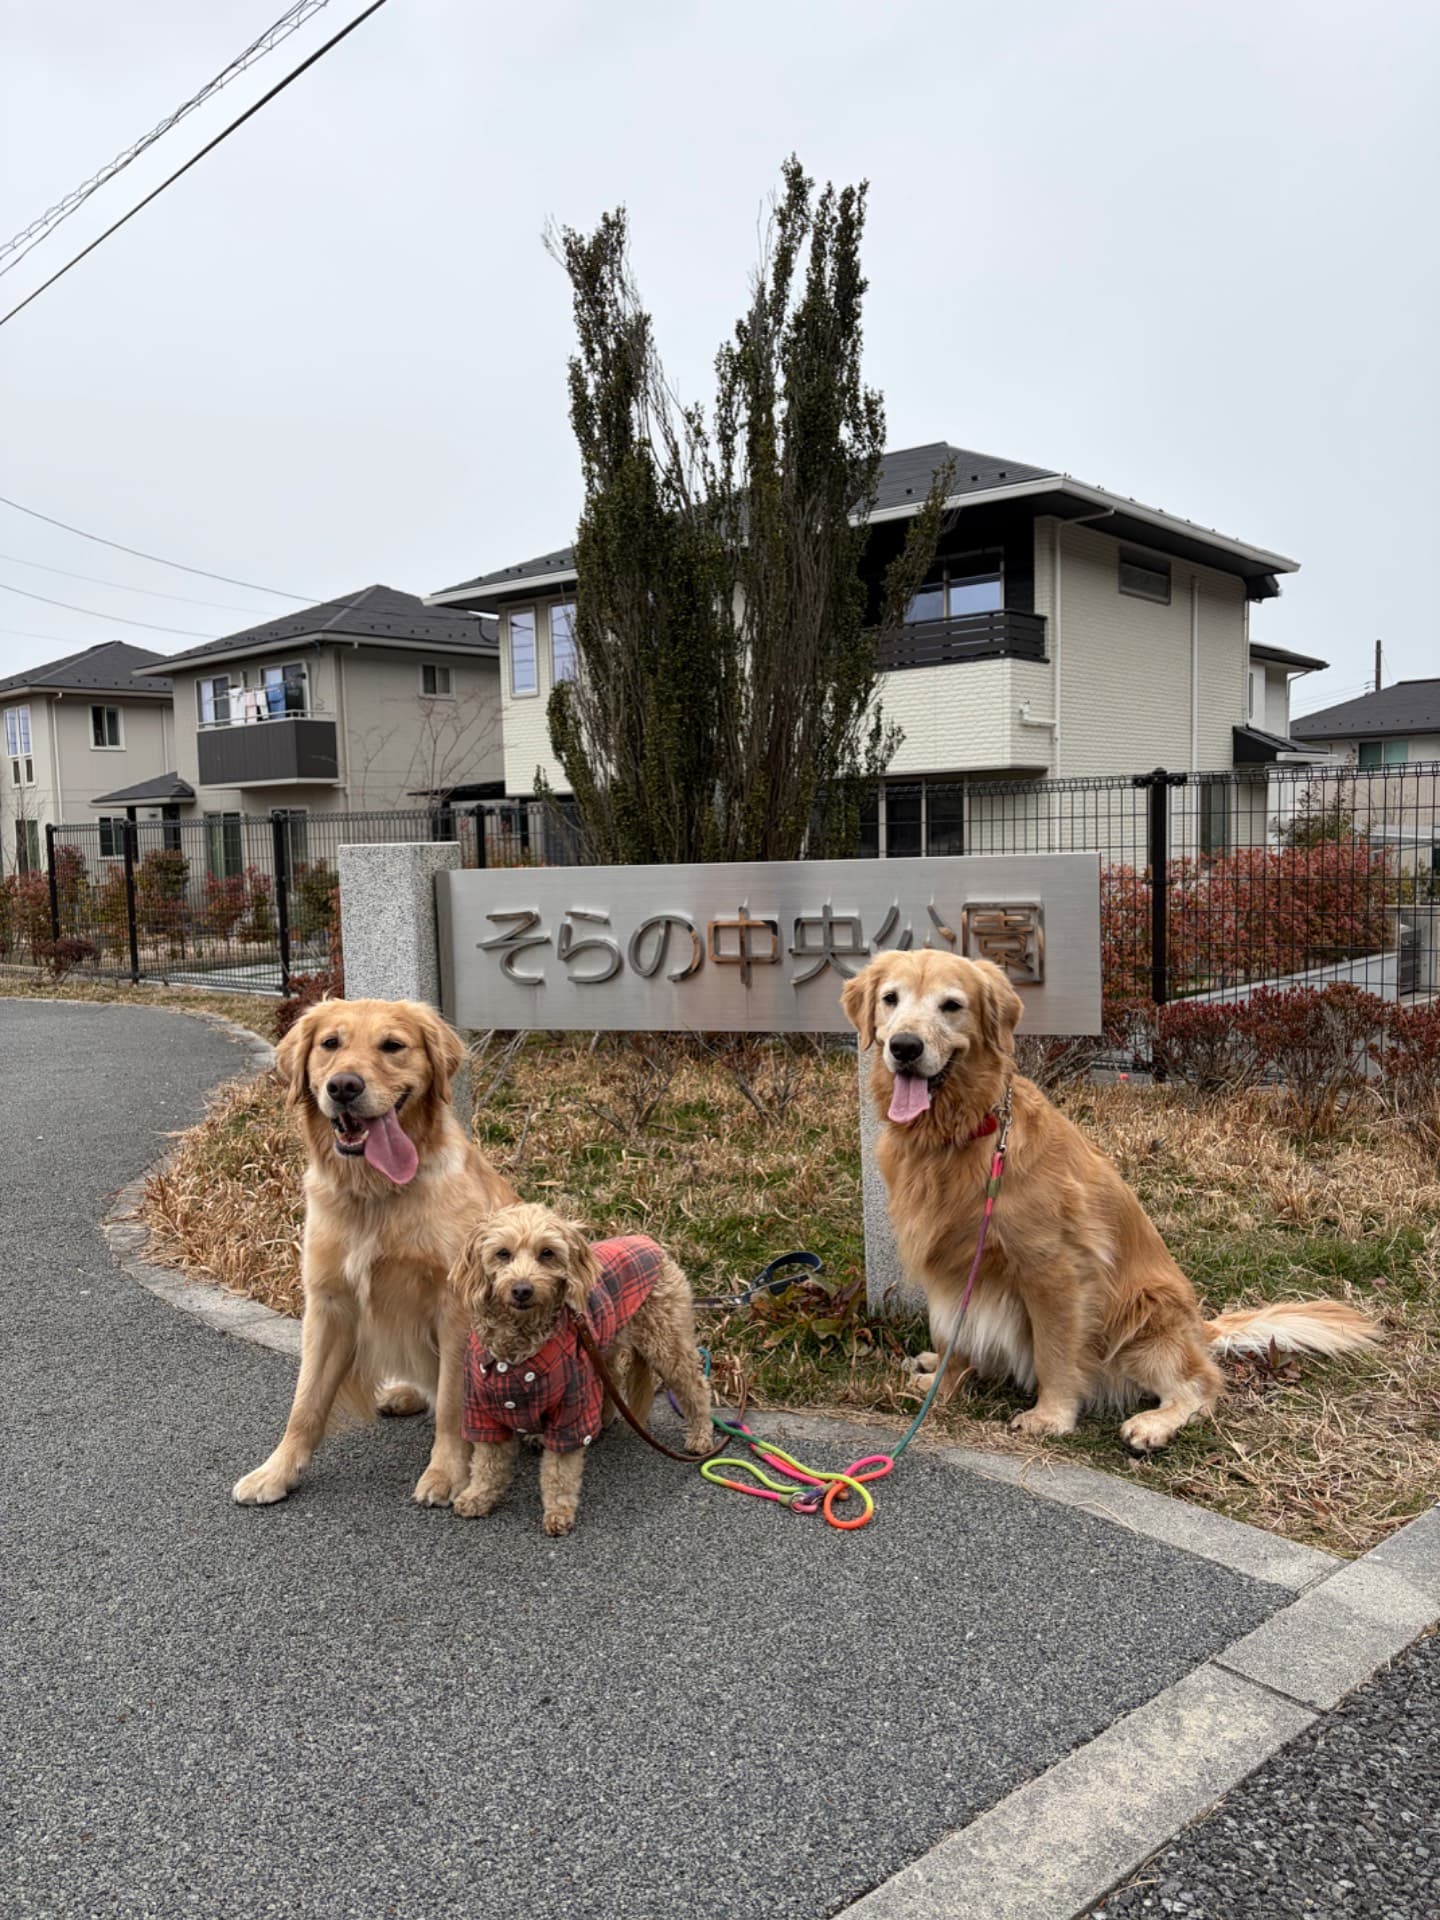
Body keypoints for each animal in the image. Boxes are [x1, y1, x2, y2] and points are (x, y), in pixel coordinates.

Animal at [232, 998, 516, 1507]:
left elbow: (451, 1403)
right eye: (330, 1043)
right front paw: (276, 1472)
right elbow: (304, 1404)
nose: (343, 1086)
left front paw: (445, 1473)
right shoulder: (329, 1305)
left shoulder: (456, 1310)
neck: (376, 1194)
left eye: (392, 1046)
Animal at [449, 1202, 715, 1534]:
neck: (519, 1344)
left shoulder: (570, 1405)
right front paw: (478, 1496)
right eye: (502, 1253)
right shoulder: (482, 1407)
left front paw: (558, 1512)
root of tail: (648, 1241)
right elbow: (487, 1462)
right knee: (611, 1379)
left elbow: (559, 1471)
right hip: (603, 1345)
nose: (522, 1289)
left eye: (547, 1253)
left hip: (666, 1340)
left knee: (696, 1386)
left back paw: (701, 1435)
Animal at [841, 950, 1378, 1452]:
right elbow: (951, 1335)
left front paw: (1051, 1416)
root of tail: (1198, 1327)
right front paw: (943, 1384)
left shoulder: (1053, 1268)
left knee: (1202, 1384)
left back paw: (1154, 1425)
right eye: (890, 999)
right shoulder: (951, 1267)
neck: (963, 1134)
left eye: (951, 1005)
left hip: (1143, 1313)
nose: (904, 1047)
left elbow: (1055, 1351)